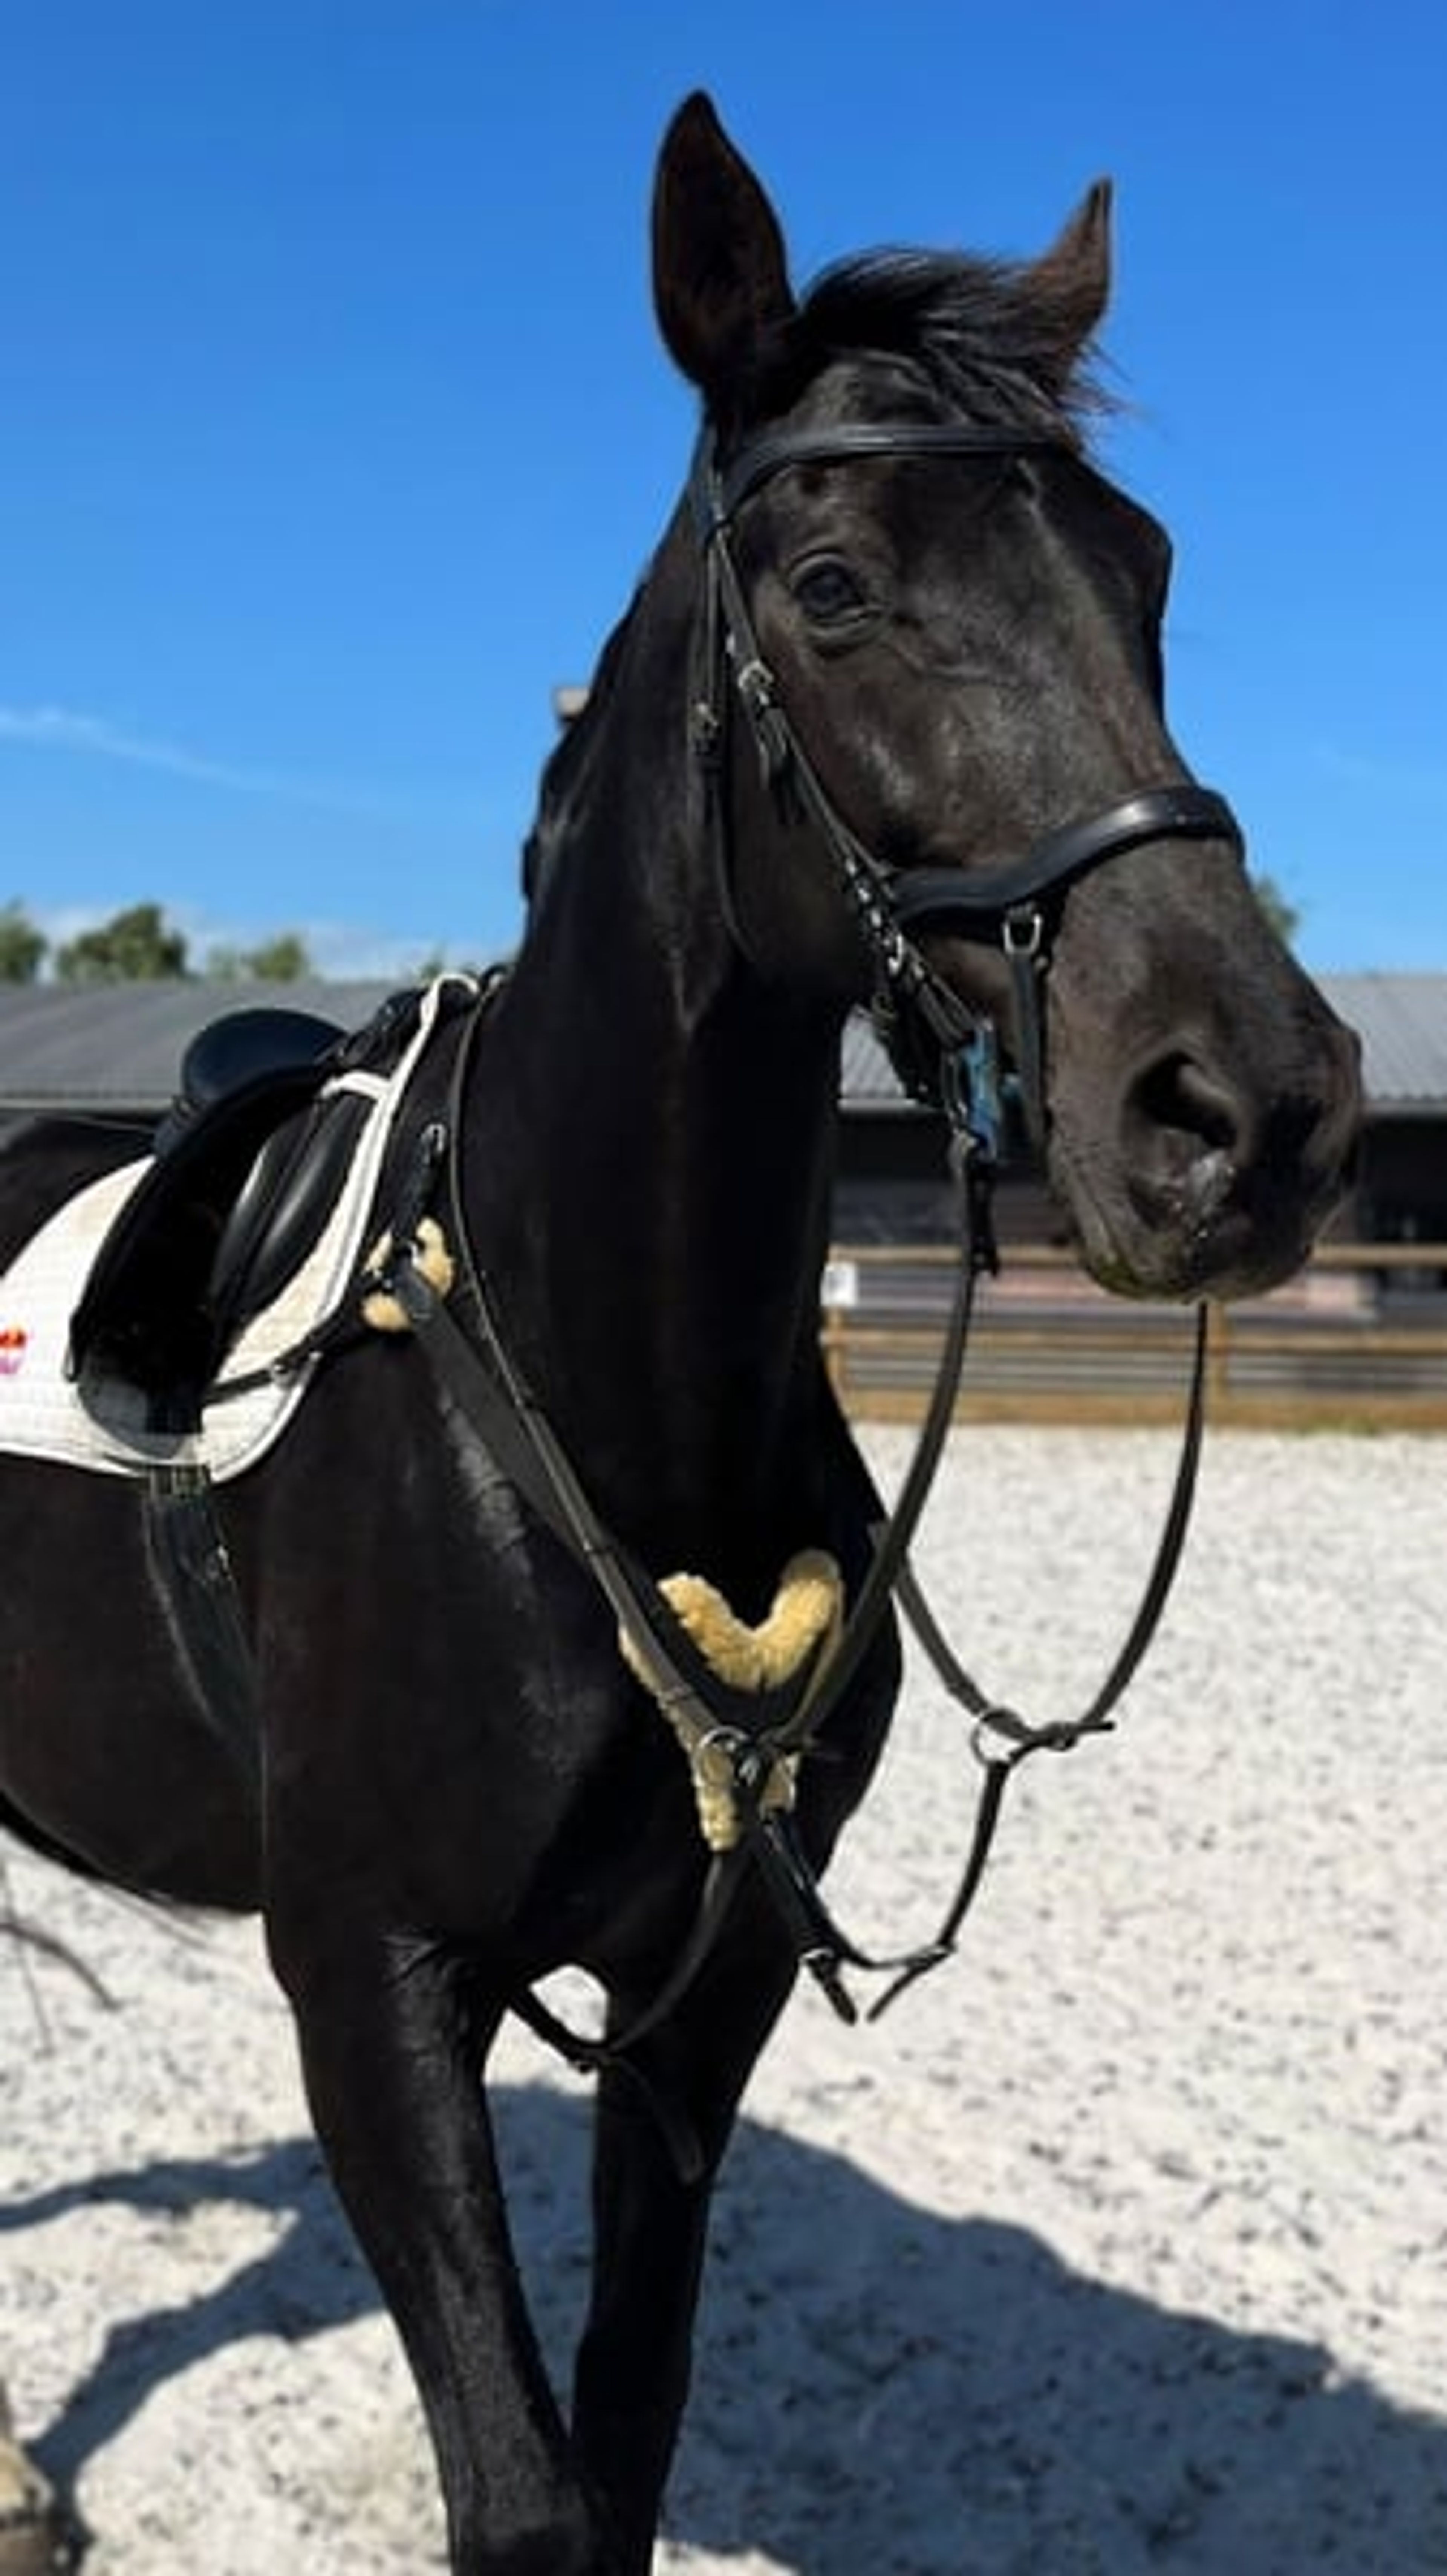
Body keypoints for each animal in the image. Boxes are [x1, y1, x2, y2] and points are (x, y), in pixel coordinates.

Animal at [0, 92, 1359, 2576]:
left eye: (1142, 571)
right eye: (831, 587)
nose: (1254, 1108)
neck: (596, 1391)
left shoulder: (694, 2004)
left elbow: (618, 2457)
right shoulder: (371, 1988)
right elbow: (527, 2494)